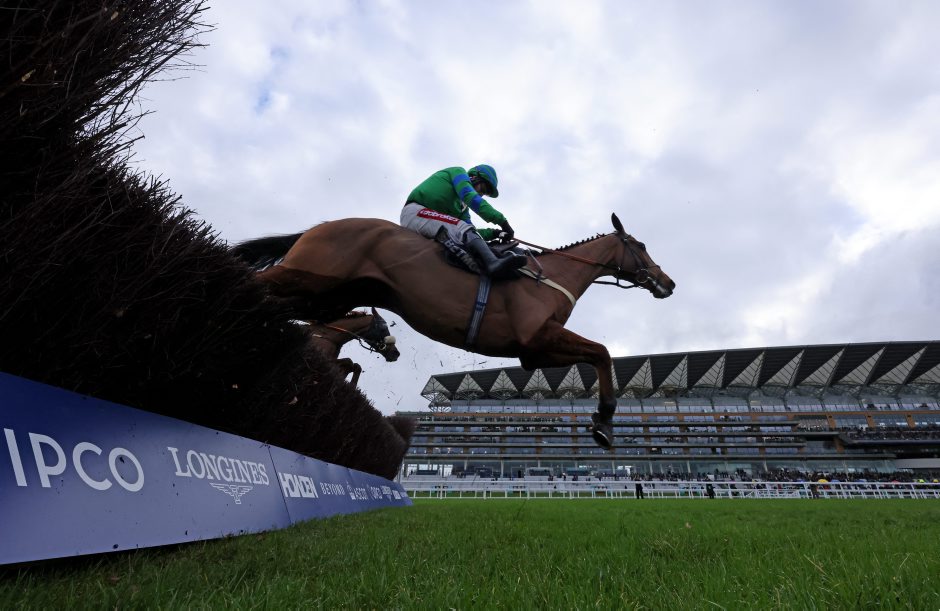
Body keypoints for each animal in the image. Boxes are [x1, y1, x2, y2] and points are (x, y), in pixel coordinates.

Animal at [233, 213, 675, 449]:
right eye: (641, 245)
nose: (667, 282)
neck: (550, 277)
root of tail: (318, 227)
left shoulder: (533, 352)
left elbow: (598, 355)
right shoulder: (536, 339)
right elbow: (602, 352)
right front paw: (604, 422)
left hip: (324, 296)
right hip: (311, 278)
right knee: (252, 281)